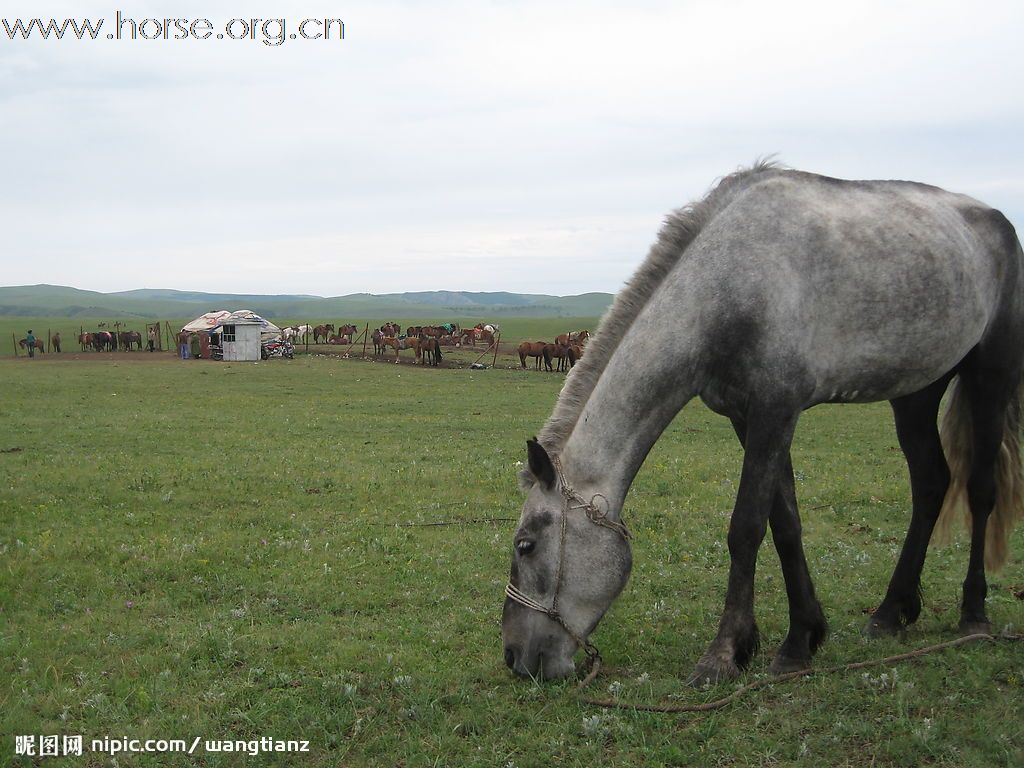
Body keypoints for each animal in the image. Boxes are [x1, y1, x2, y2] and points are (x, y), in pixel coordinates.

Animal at [503, 162, 1024, 684]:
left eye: (525, 545)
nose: (513, 657)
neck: (730, 284)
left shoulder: (777, 409)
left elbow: (747, 528)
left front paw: (724, 653)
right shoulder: (747, 417)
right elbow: (785, 525)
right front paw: (802, 638)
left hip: (990, 375)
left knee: (981, 489)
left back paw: (973, 615)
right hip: (915, 394)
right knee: (931, 484)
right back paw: (890, 613)